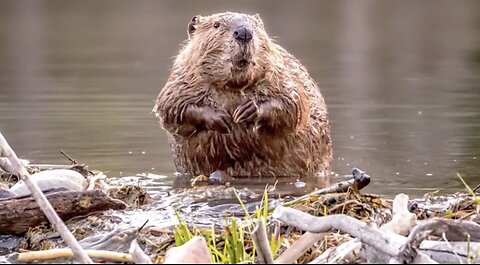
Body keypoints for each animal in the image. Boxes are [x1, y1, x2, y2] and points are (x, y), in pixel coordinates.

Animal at [152, 11, 332, 177]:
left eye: (255, 25)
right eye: (216, 25)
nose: (244, 32)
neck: (233, 86)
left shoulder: (281, 73)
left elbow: (293, 103)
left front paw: (247, 111)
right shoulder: (181, 79)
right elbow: (171, 107)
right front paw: (221, 118)